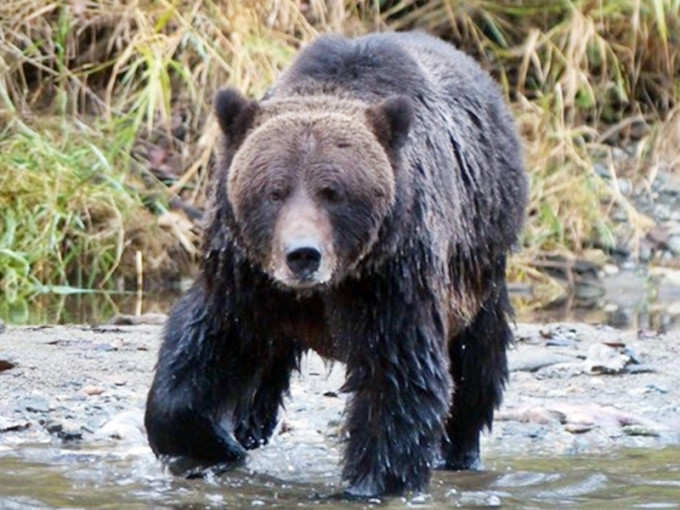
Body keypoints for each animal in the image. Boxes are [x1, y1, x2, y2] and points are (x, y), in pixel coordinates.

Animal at [146, 30, 528, 494]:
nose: (303, 254)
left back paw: (461, 450)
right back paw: (247, 426)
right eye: (274, 191)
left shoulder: (391, 277)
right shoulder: (246, 277)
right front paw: (213, 445)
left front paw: (371, 483)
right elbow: (203, 348)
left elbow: (396, 377)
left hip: (479, 261)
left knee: (478, 360)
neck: (325, 288)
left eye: (333, 192)